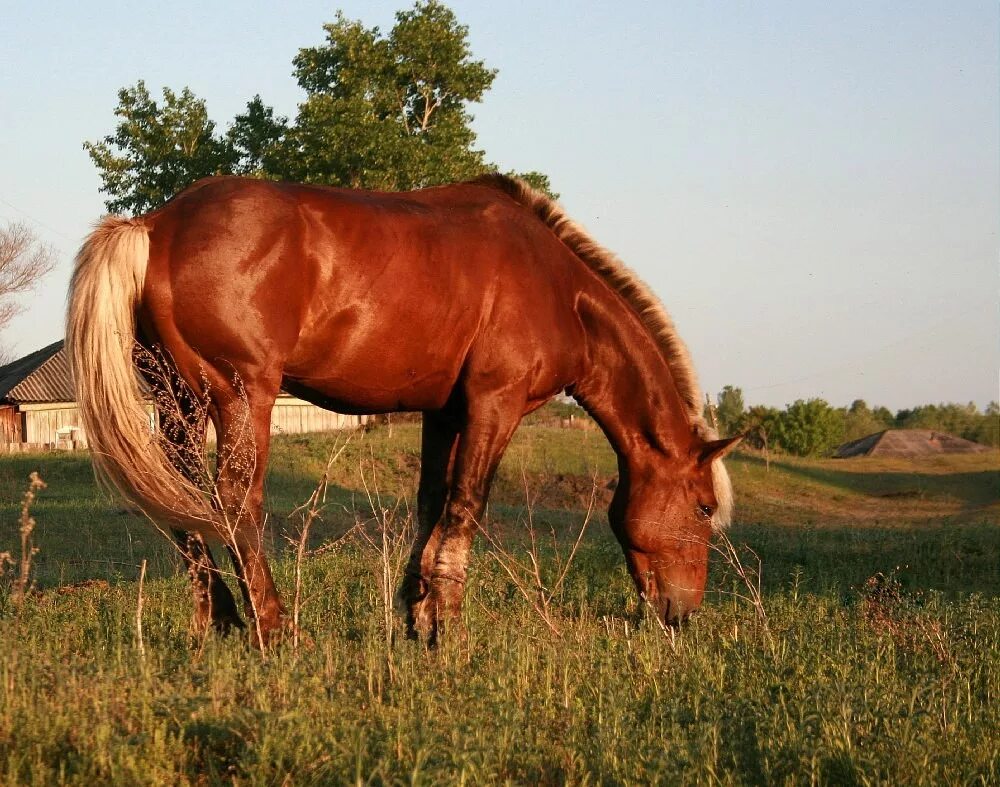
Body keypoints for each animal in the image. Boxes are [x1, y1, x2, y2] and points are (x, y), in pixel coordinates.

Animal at [66, 177, 740, 648]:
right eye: (704, 508)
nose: (683, 612)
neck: (557, 288)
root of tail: (157, 225)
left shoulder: (444, 413)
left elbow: (431, 502)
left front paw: (418, 613)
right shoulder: (494, 404)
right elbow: (467, 504)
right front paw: (447, 626)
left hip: (177, 398)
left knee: (182, 496)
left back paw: (220, 617)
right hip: (240, 395)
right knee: (235, 501)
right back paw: (275, 628)